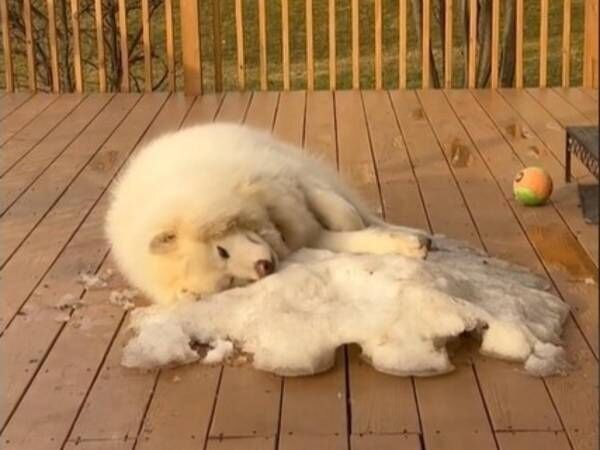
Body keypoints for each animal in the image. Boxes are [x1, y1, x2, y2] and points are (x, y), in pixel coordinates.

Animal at [105, 123, 428, 306]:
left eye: (221, 251)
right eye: (229, 282)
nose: (265, 268)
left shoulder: (288, 179)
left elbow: (344, 215)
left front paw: (404, 240)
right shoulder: (308, 235)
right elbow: (355, 238)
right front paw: (400, 245)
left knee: (364, 212)